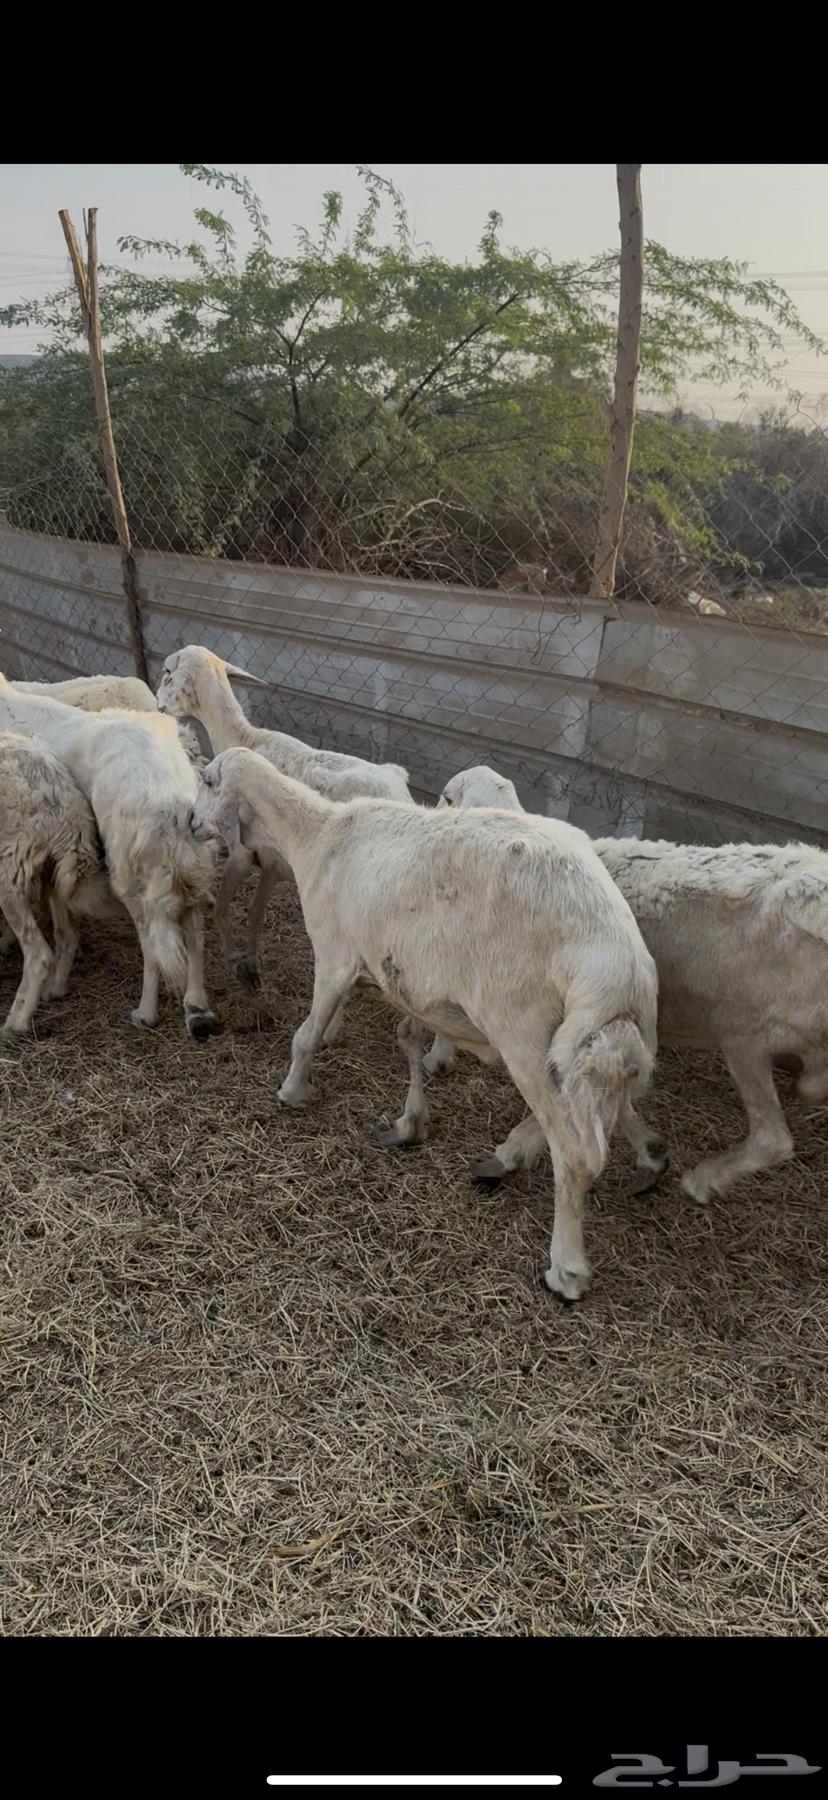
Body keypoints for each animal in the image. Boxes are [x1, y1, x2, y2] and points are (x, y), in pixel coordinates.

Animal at [0, 732, 122, 1038]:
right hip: (57, 878)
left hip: (10, 876)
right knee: (67, 937)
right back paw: (54, 990)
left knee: (39, 955)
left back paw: (15, 1024)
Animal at [157, 644, 413, 992]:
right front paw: (250, 965)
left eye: (168, 673)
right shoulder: (272, 867)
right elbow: (254, 914)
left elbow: (223, 909)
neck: (246, 738)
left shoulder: (241, 853)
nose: (158, 706)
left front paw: (233, 958)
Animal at [189, 745, 659, 1300]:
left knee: (577, 1152)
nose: (189, 820)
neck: (317, 835)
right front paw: (409, 1117)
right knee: (594, 1116)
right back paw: (518, 1155)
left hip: (523, 1026)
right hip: (594, 1041)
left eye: (209, 780)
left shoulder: (334, 953)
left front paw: (294, 1091)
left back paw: (565, 1267)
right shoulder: (398, 975)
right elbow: (405, 1035)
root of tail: (615, 963)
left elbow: (306, 1036)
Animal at [436, 763, 828, 1205]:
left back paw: (702, 1181)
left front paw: (511, 1153)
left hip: (744, 1030)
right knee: (811, 1087)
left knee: (771, 1137)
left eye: (447, 797)